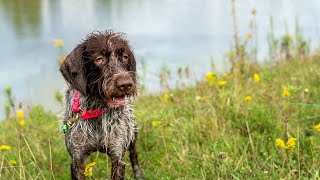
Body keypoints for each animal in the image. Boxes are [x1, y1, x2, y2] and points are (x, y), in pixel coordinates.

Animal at [59, 30, 144, 179]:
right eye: (99, 59)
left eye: (125, 57)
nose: (126, 84)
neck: (96, 109)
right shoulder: (77, 159)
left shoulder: (117, 157)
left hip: (132, 133)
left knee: (134, 154)